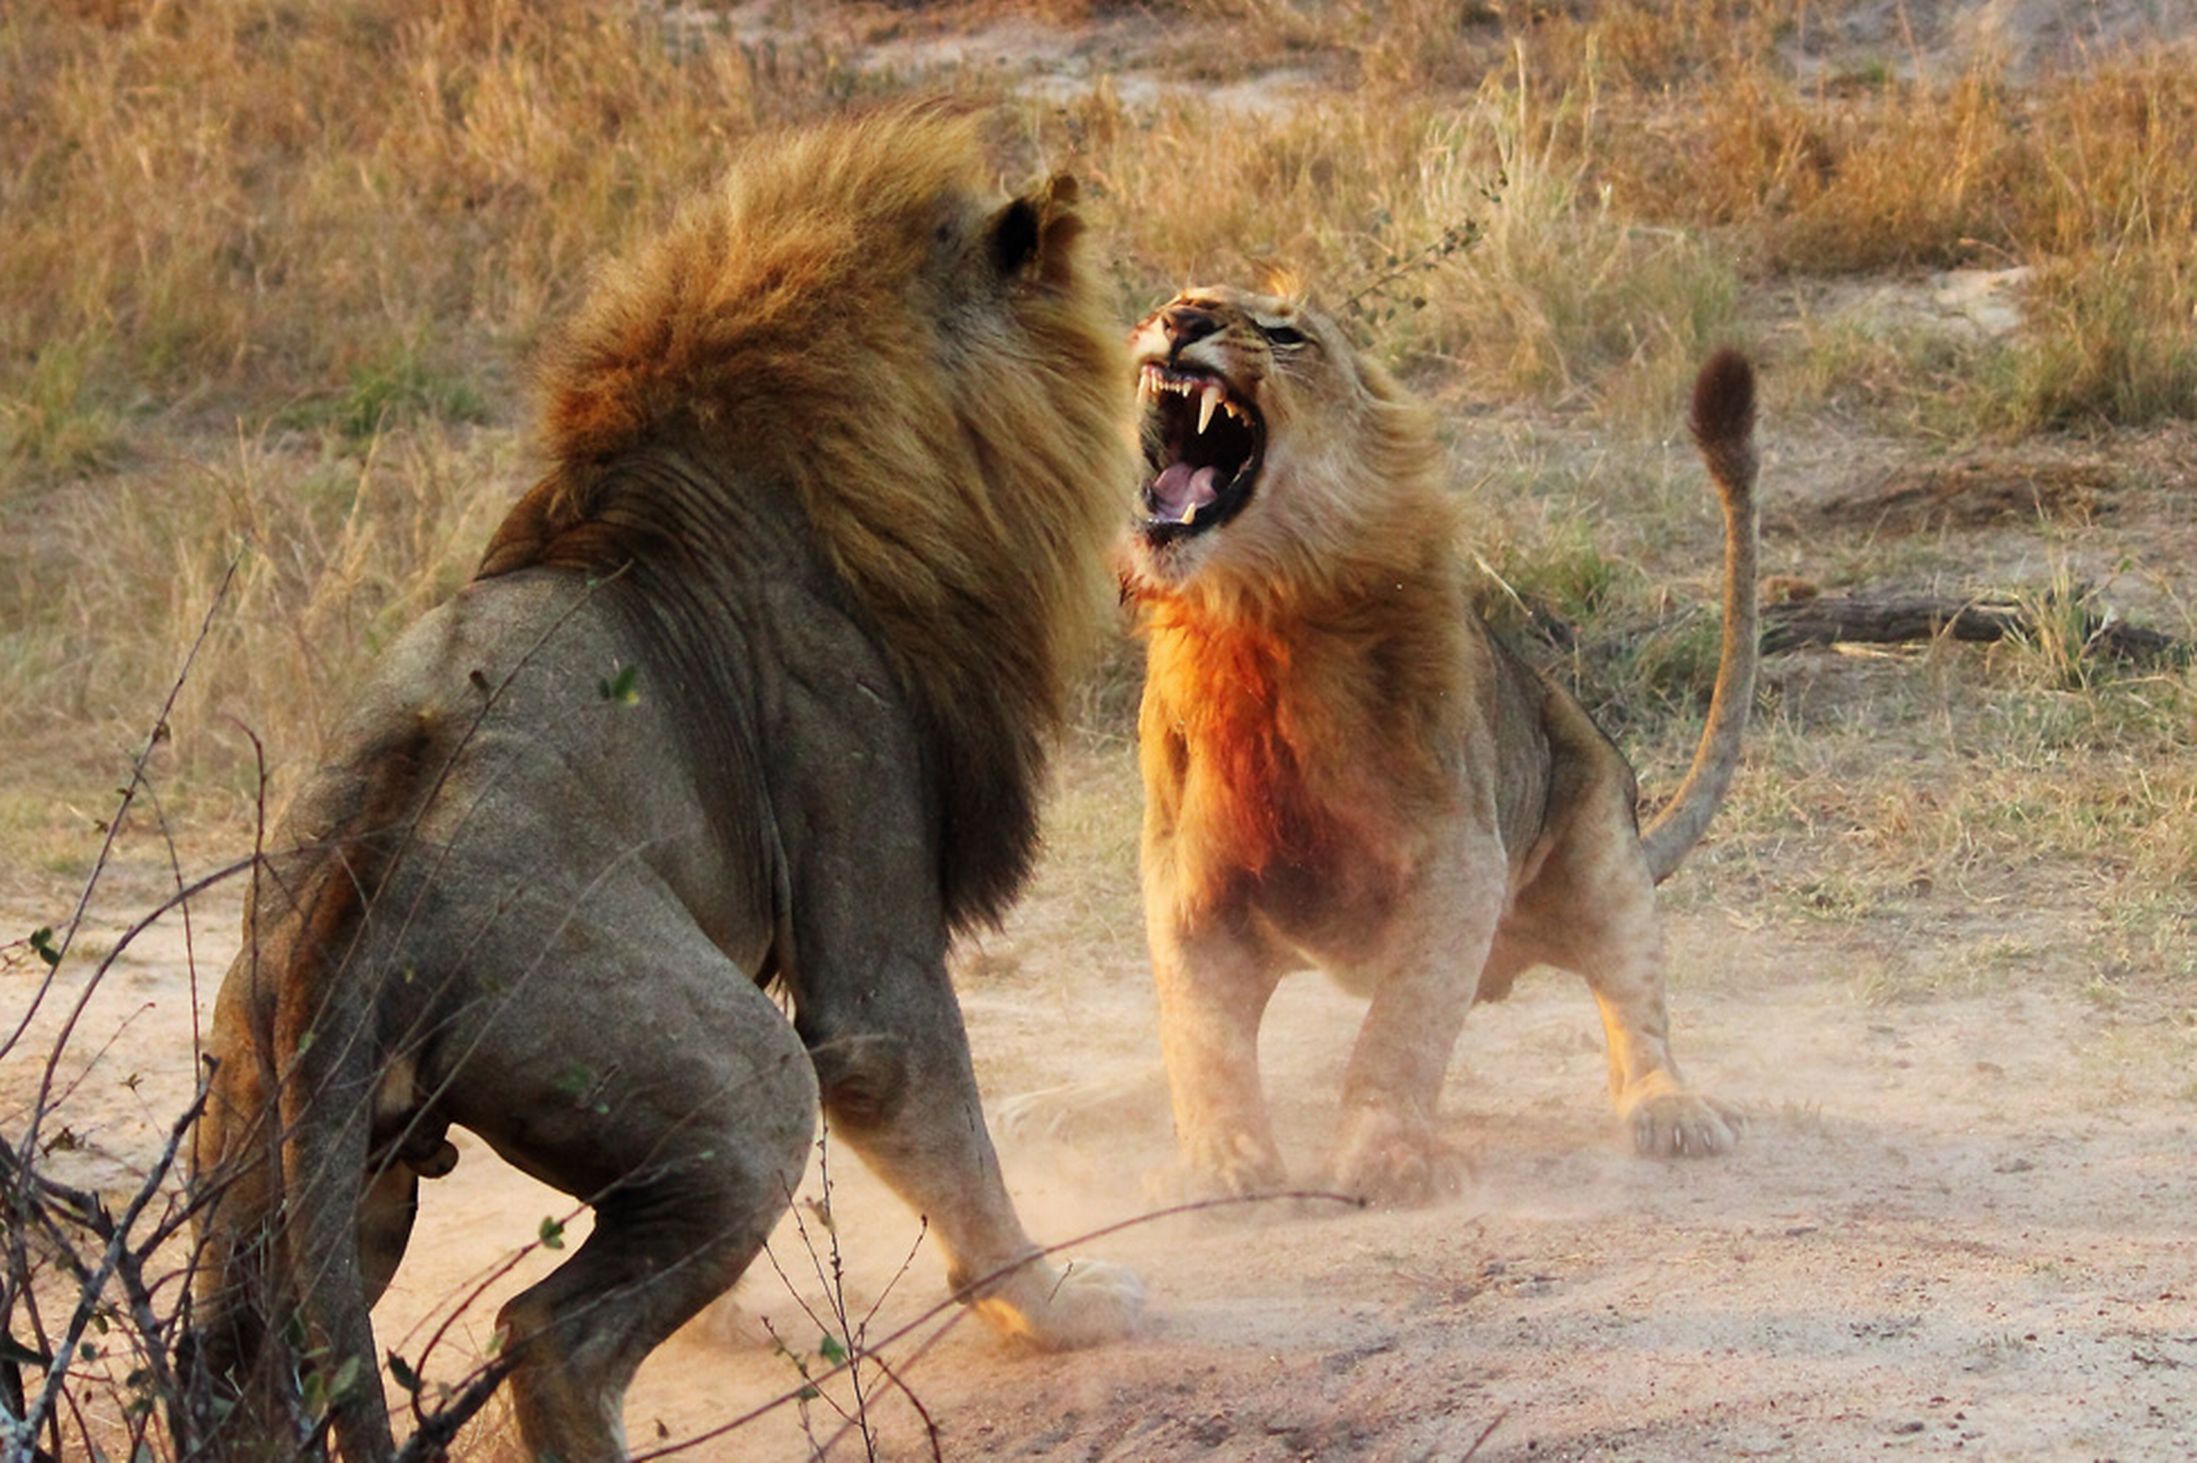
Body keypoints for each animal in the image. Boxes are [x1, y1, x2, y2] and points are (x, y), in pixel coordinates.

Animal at [186, 106, 1144, 1462]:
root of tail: (348, 911)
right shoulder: (854, 839)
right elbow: (937, 1111)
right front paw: (1057, 1305)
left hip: (278, 1144)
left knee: (242, 1360)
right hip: (744, 1080)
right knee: (548, 1330)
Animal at [1120, 285, 1758, 1205]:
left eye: (1284, 333)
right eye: (1176, 299)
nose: (1179, 321)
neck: (1256, 620)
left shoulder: (1459, 859)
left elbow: (1401, 1030)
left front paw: (1388, 1159)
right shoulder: (1187, 881)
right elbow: (1202, 1042)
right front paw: (1219, 1164)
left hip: (1602, 847)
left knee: (1634, 1011)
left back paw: (1670, 1110)